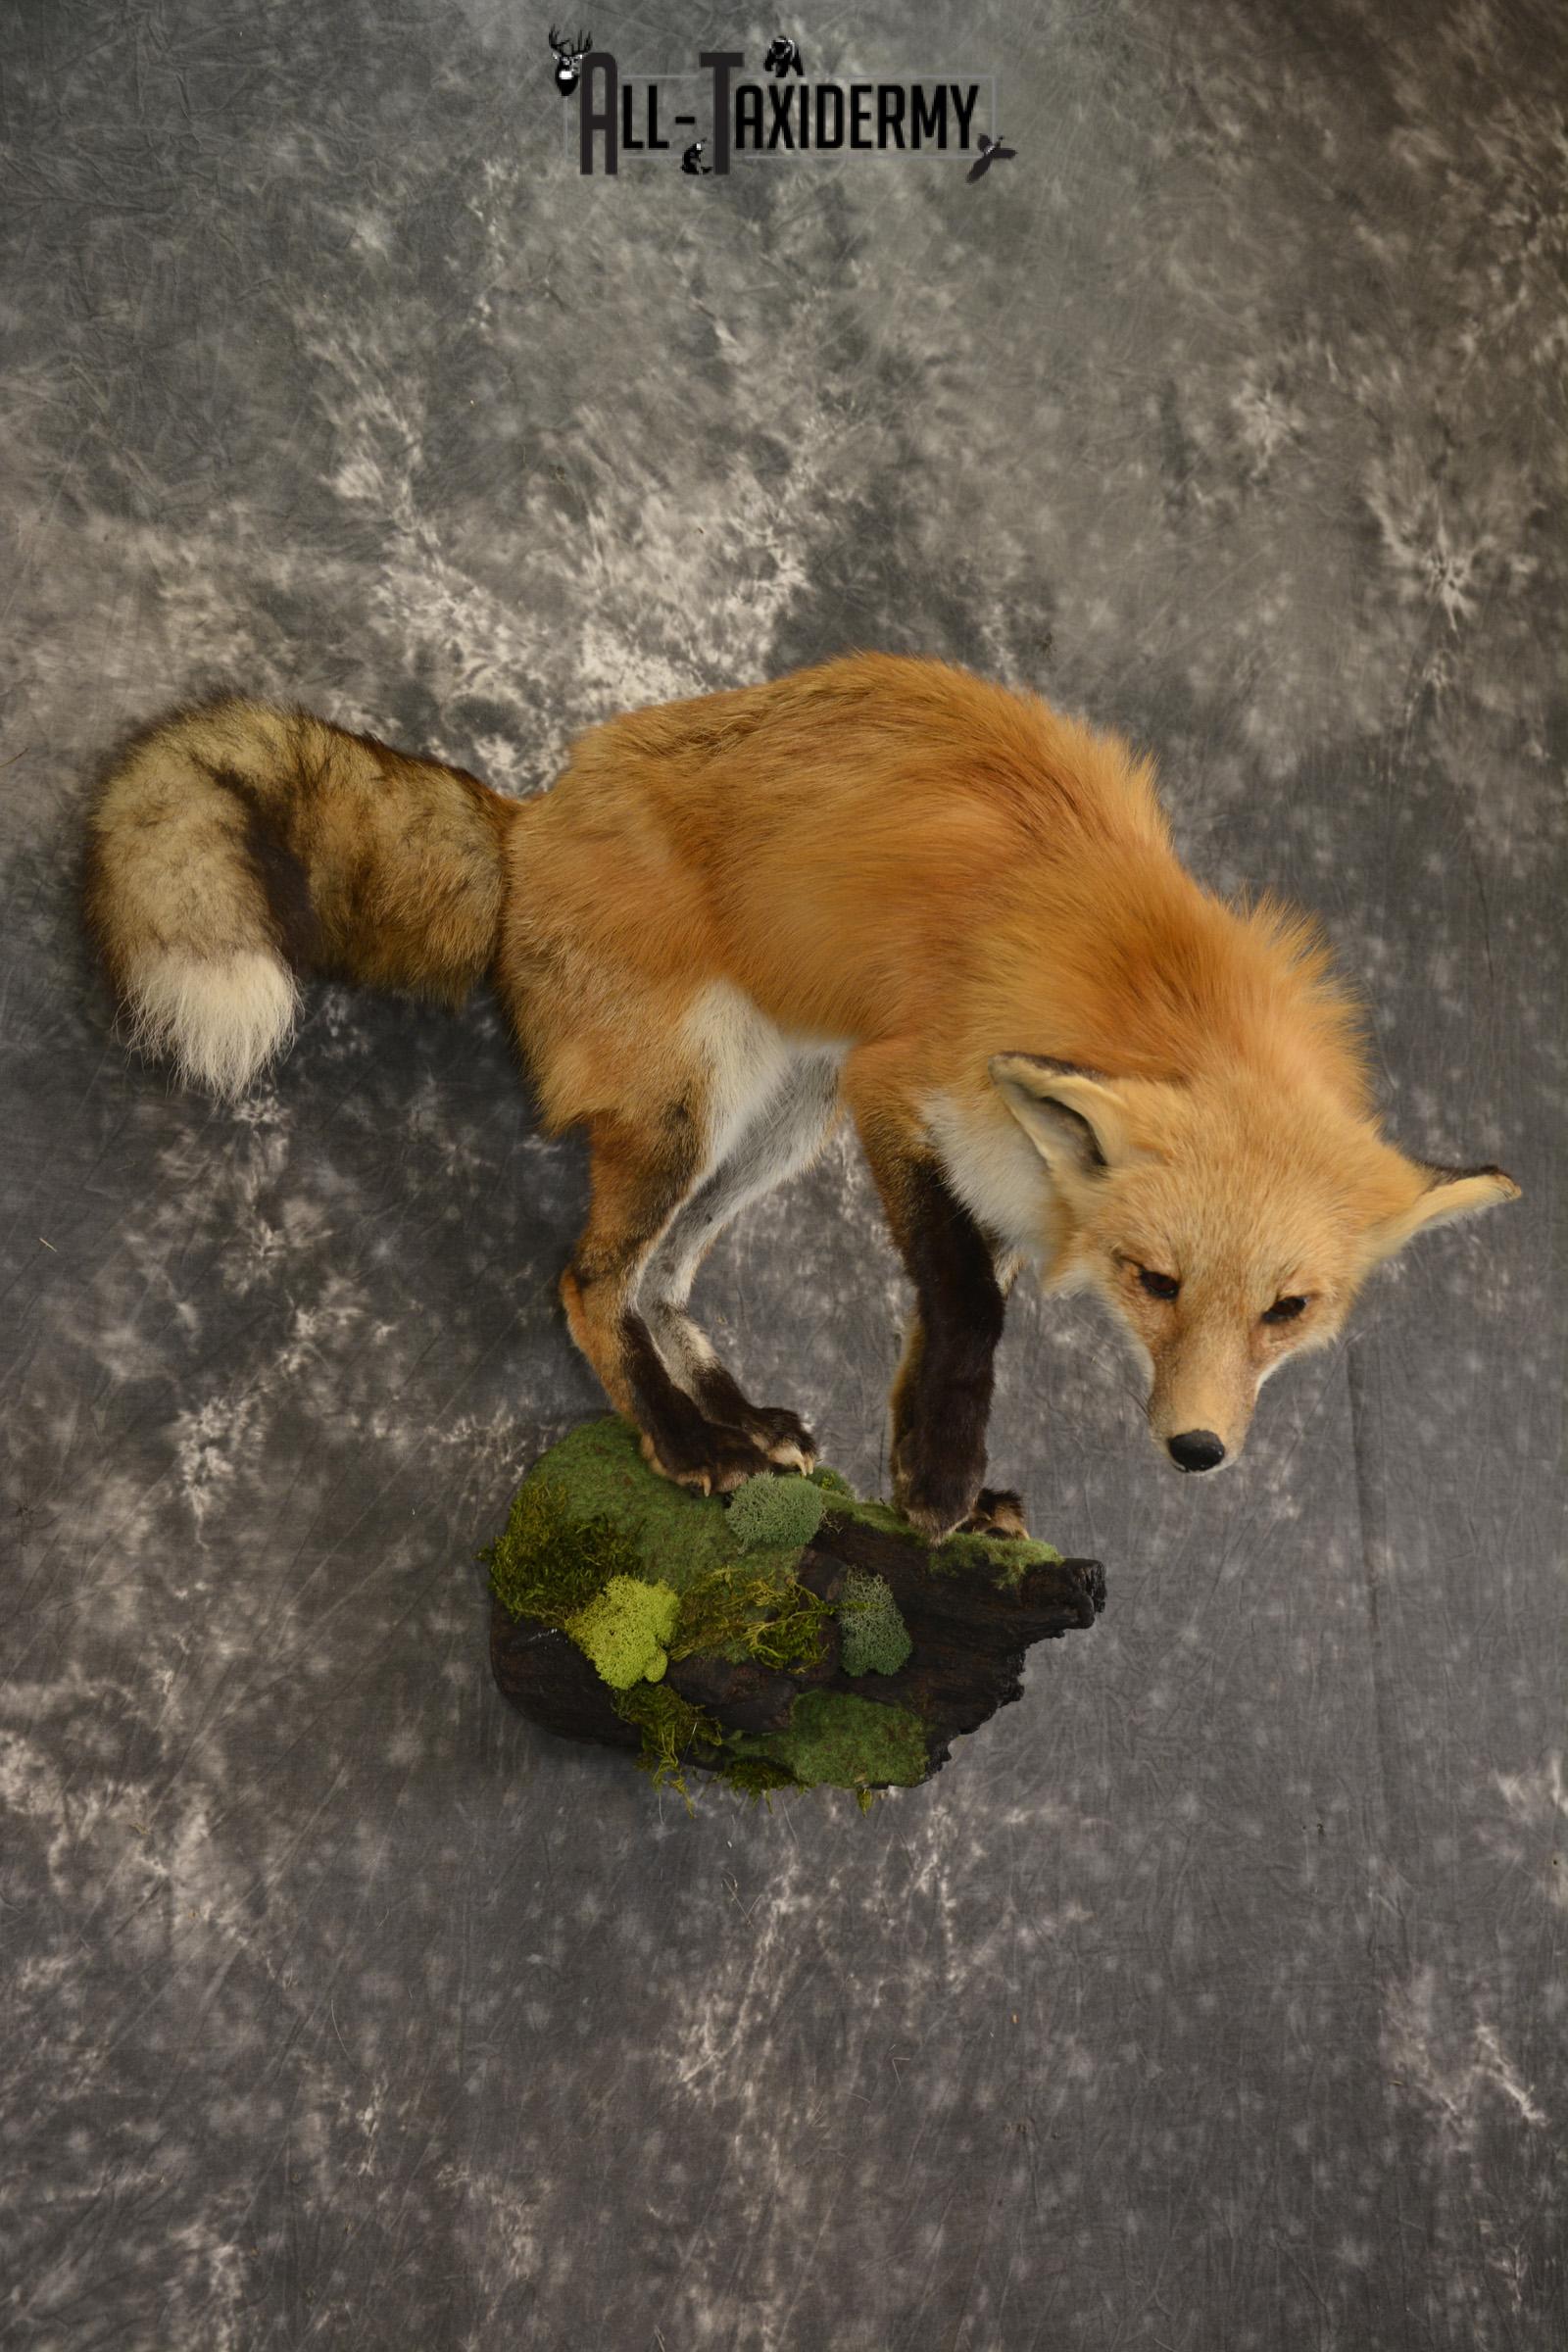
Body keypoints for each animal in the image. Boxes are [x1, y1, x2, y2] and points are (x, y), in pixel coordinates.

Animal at [82, 653, 1519, 1540]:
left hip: (783, 1127)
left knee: (664, 1281)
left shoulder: (980, 1172)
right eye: (1154, 1283)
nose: (1198, 1452)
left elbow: (938, 1331)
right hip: (701, 1103)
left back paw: (739, 1419)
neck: (1145, 983)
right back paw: (685, 1444)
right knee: (589, 1284)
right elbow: (969, 1317)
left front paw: (942, 1489)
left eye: (1289, 1312)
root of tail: (529, 814)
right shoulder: (905, 1092)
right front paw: (941, 1480)